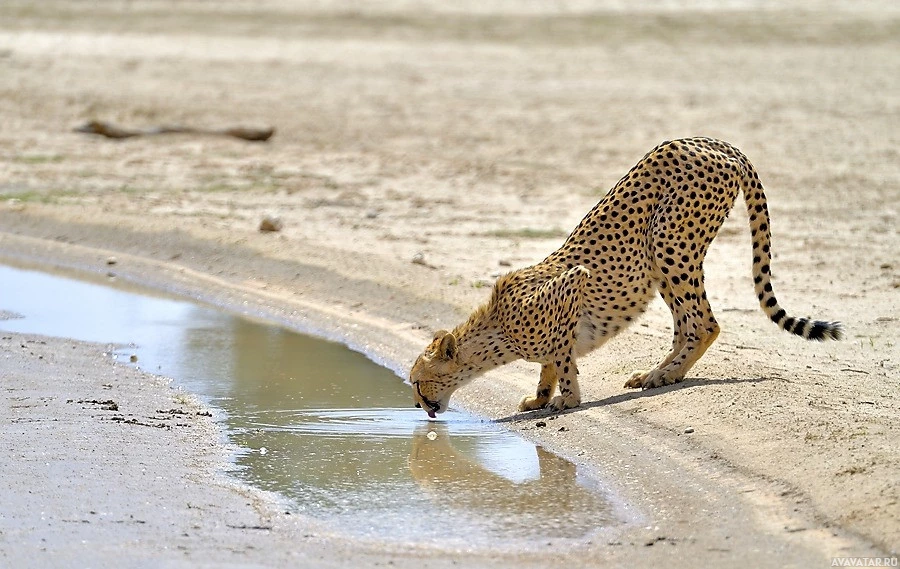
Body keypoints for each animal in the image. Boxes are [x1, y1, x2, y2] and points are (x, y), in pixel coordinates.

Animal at [410, 138, 844, 418]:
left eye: (417, 380)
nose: (416, 404)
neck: (496, 329)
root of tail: (713, 142)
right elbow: (549, 364)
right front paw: (539, 399)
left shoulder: (572, 285)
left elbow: (562, 357)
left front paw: (566, 400)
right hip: (661, 261)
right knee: (687, 325)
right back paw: (657, 374)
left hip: (668, 242)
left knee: (706, 324)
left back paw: (668, 373)